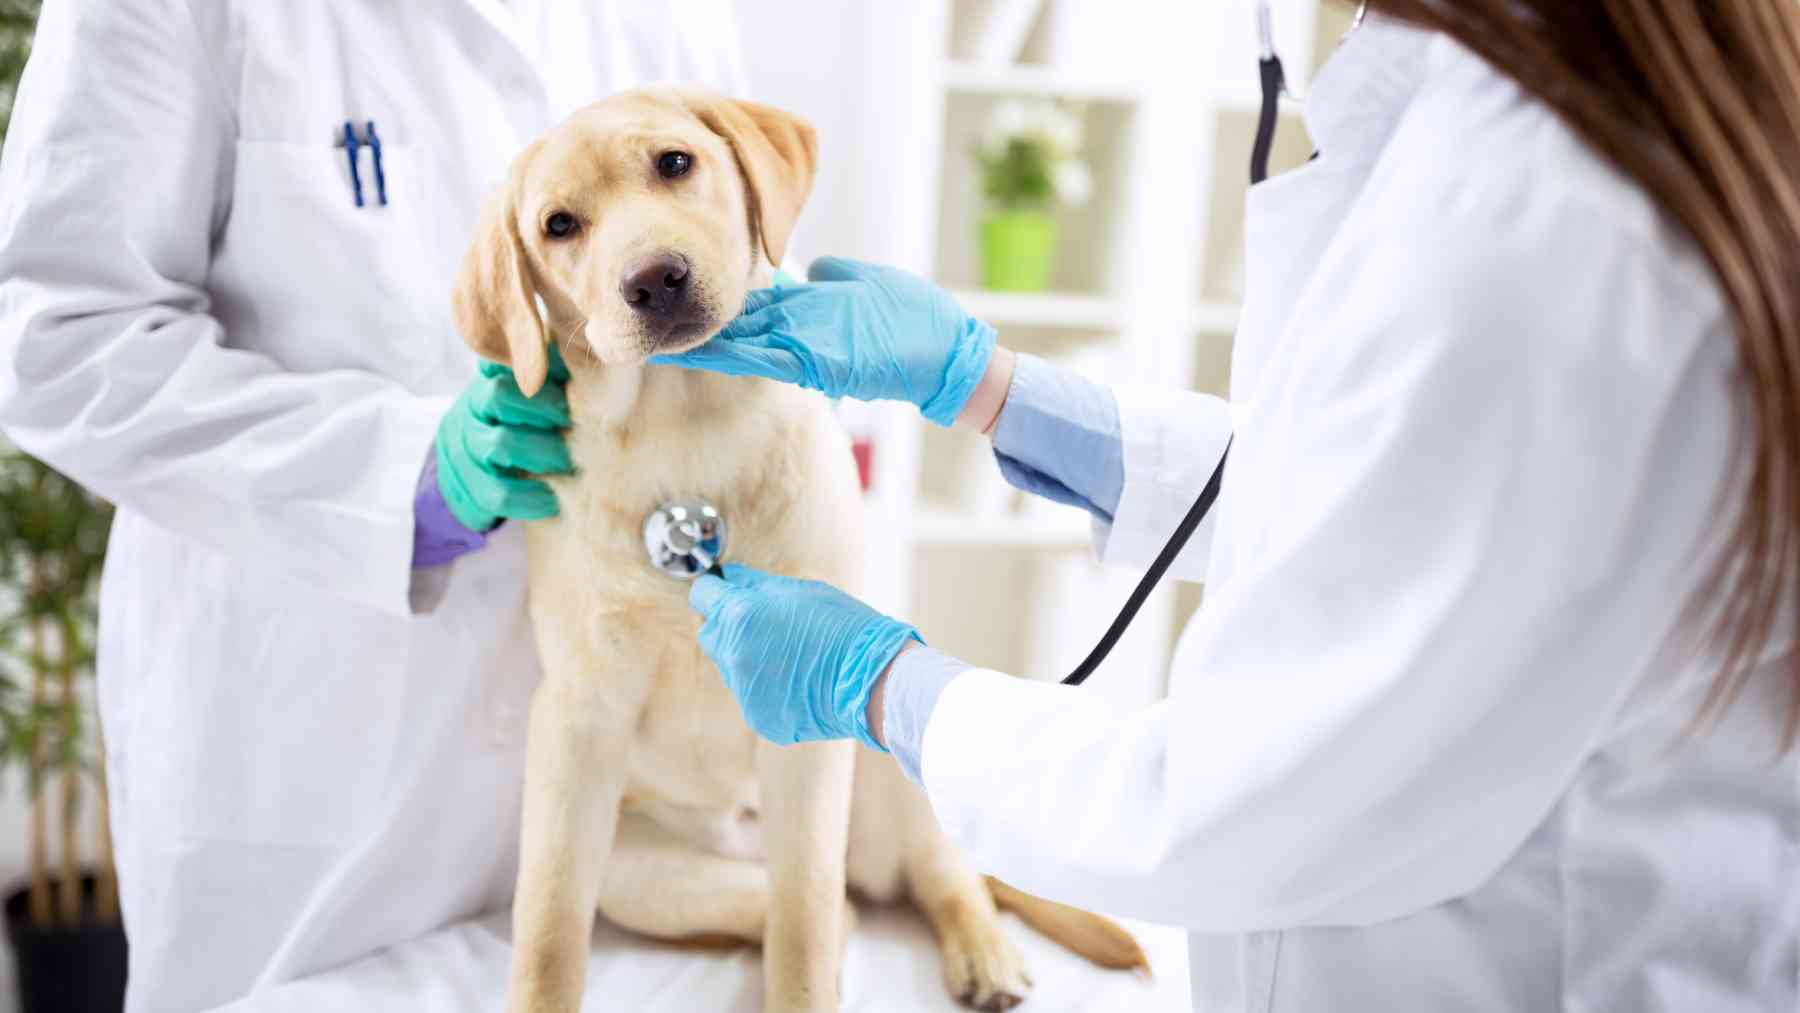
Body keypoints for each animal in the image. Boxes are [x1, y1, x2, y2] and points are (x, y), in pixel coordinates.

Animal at [457, 89, 1144, 1013]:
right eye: (559, 225)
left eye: (675, 163)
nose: (654, 278)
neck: (681, 427)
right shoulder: (575, 725)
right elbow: (548, 932)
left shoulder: (812, 735)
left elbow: (806, 921)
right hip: (642, 872)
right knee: (828, 909)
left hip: (886, 766)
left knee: (926, 877)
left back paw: (983, 951)